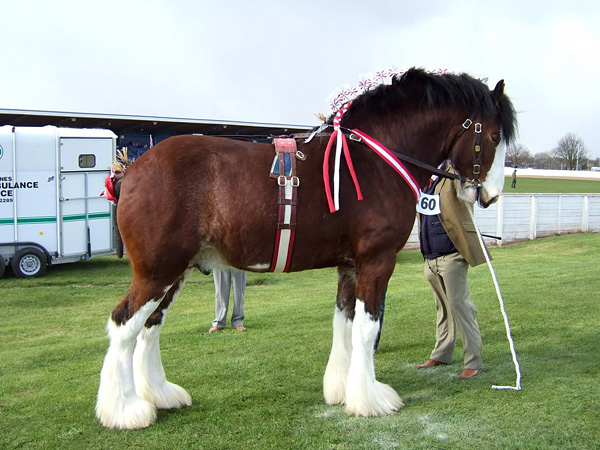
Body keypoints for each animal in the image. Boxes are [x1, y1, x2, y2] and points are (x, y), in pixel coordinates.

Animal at [97, 68, 516, 428]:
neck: (376, 161)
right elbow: (366, 329)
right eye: (495, 137)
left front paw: (342, 390)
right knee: (124, 324)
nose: (491, 195)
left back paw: (160, 396)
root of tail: (131, 171)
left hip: (174, 273)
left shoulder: (350, 266)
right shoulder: (376, 262)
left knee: (150, 328)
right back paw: (125, 410)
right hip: (158, 271)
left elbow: (344, 324)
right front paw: (371, 400)